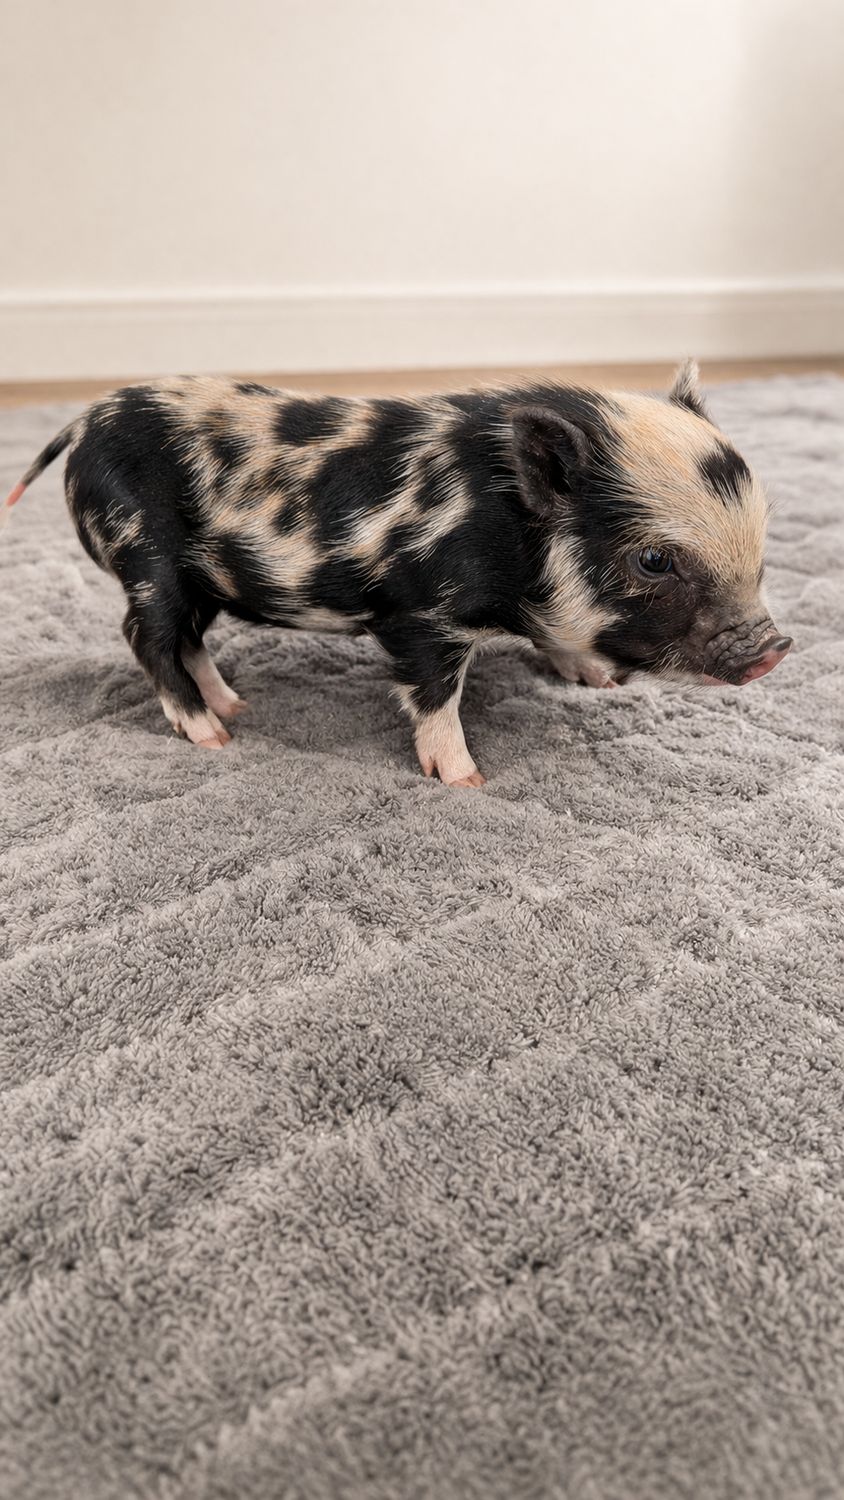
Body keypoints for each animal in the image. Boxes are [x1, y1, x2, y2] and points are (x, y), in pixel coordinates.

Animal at [3, 360, 791, 786]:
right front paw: (470, 780)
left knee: (188, 639)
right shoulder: (420, 613)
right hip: (147, 557)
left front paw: (597, 683)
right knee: (145, 636)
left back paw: (237, 708)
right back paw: (215, 737)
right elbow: (435, 695)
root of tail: (84, 423)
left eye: (763, 527)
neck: (499, 526)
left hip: (201, 577)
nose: (774, 650)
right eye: (653, 560)